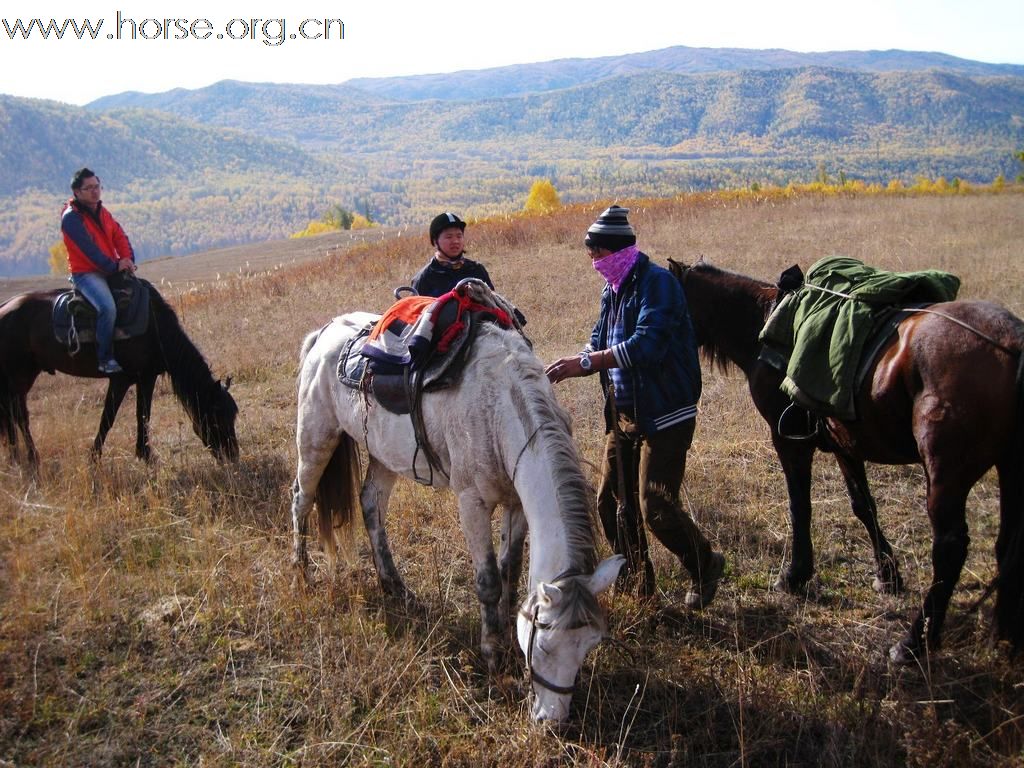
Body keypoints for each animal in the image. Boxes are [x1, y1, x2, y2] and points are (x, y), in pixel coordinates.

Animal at [0, 278, 237, 468]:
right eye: (218, 418)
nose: (232, 456)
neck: (155, 329)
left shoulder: (146, 377)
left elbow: (142, 414)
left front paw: (144, 454)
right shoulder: (122, 380)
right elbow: (110, 417)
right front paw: (96, 458)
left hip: (24, 377)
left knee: (16, 416)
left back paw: (22, 458)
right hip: (15, 378)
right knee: (17, 416)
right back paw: (26, 458)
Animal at [288, 286, 622, 724]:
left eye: (591, 644)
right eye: (545, 644)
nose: (551, 721)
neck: (500, 408)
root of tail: (323, 333)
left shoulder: (516, 504)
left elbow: (510, 570)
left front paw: (505, 628)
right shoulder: (472, 503)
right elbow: (488, 580)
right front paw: (492, 654)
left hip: (383, 455)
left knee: (371, 505)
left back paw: (395, 586)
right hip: (316, 438)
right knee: (301, 499)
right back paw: (301, 573)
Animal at [671, 260, 1024, 667]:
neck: (763, 325)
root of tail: (1012, 343)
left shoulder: (789, 440)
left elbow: (800, 506)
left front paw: (795, 575)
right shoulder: (845, 444)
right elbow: (863, 506)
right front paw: (887, 576)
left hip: (946, 475)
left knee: (950, 548)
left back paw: (913, 643)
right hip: (1009, 468)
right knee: (1007, 544)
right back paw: (1004, 636)